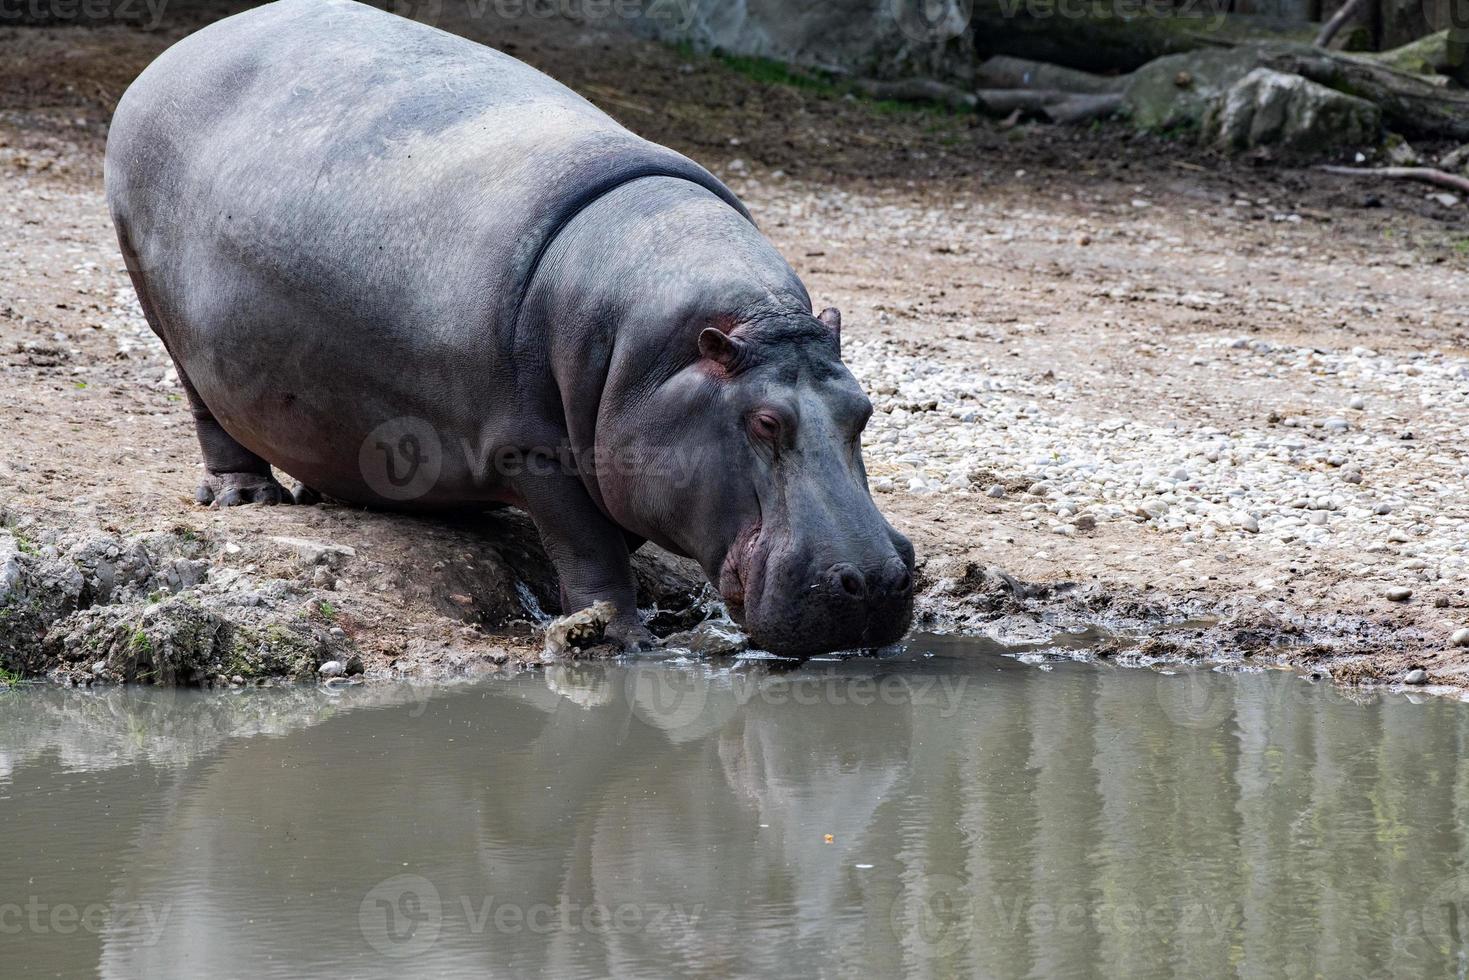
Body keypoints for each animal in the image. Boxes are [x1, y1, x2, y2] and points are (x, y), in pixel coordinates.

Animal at [106, 1, 904, 658]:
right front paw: (620, 639)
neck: (664, 356)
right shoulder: (530, 449)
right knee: (205, 407)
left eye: (864, 410)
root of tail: (180, 49)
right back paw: (248, 498)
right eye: (764, 422)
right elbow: (589, 548)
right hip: (160, 312)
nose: (877, 582)